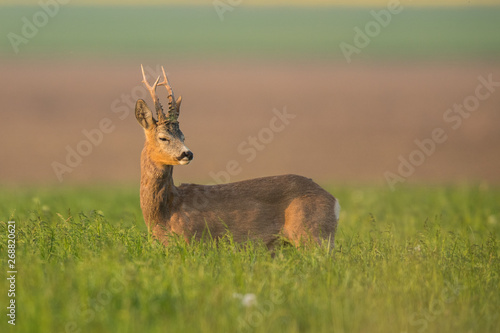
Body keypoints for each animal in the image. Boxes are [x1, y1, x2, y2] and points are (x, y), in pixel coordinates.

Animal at [136, 65, 340, 249]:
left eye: (183, 136)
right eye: (163, 137)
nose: (187, 153)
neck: (165, 213)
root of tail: (334, 202)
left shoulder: (194, 241)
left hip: (313, 235)